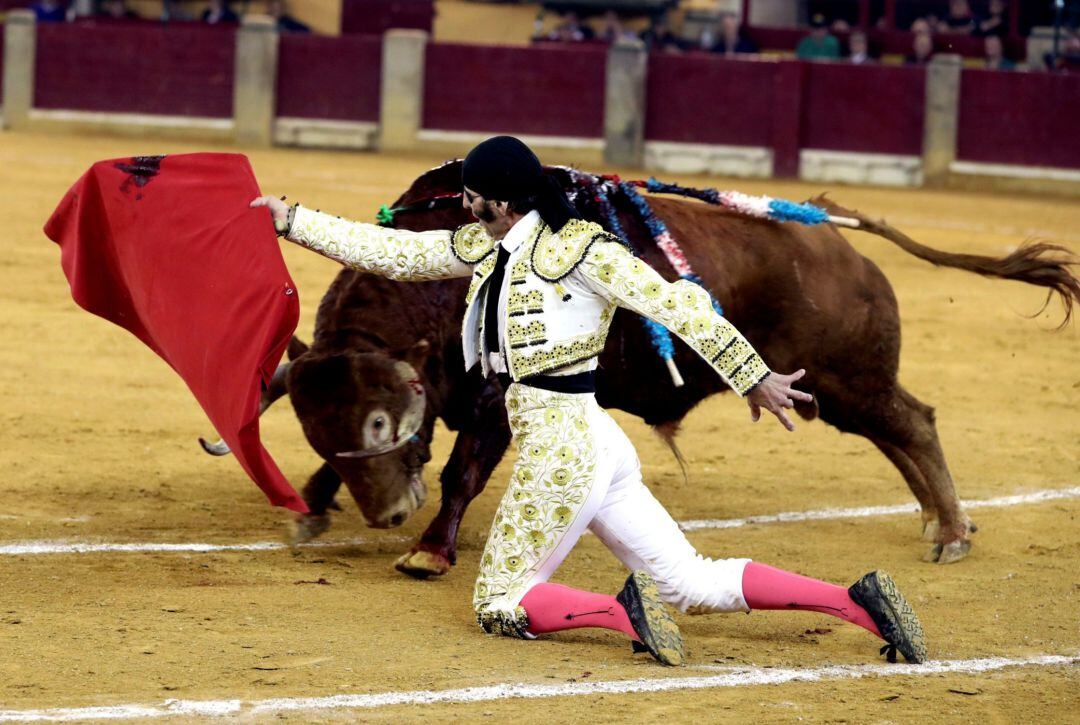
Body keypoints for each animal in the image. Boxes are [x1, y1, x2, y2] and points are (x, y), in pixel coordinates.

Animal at [204, 162, 1080, 574]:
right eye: (321, 429)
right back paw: (938, 520)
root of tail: (835, 235)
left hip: (844, 377)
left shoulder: (491, 401)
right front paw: (313, 506)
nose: (386, 513)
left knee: (913, 423)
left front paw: (427, 549)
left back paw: (953, 530)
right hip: (836, 389)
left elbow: (460, 475)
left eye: (386, 418)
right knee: (899, 430)